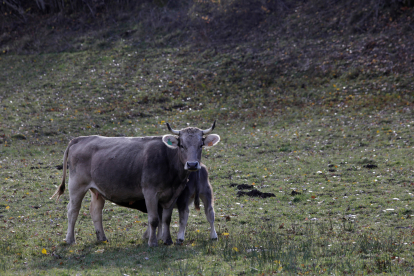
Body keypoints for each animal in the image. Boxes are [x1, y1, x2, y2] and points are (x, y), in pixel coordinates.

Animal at [51, 122, 220, 247]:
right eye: (182, 145)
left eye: (200, 145)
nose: (192, 164)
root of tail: (80, 139)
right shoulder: (150, 192)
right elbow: (154, 219)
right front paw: (152, 242)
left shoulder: (173, 194)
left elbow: (166, 219)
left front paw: (168, 241)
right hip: (77, 185)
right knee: (73, 210)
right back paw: (70, 239)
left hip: (97, 189)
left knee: (95, 211)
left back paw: (102, 238)